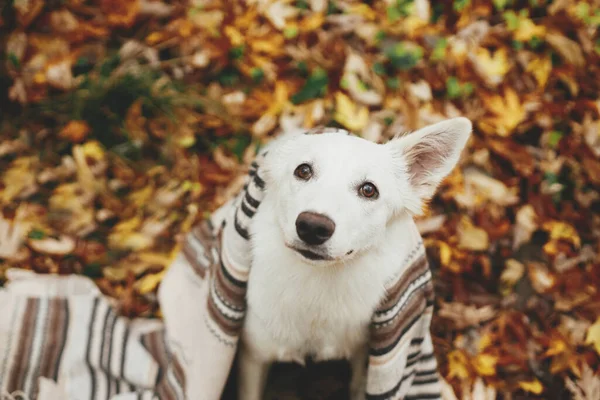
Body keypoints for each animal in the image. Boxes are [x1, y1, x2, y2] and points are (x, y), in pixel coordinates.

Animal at [237, 117, 472, 398]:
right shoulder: (254, 357)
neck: (318, 289)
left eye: (368, 190)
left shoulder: (364, 363)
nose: (312, 226)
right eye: (303, 171)